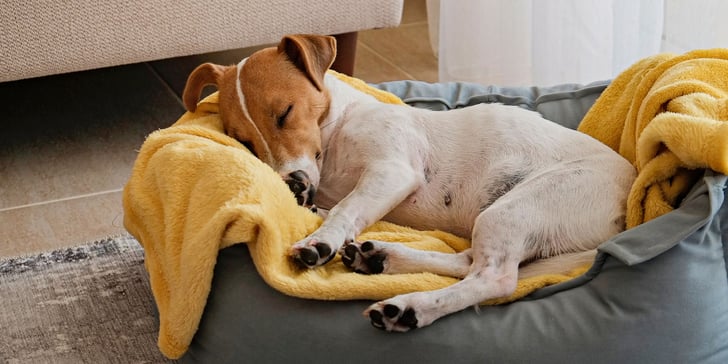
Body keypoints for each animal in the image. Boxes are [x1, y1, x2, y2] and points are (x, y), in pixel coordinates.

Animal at [183, 34, 636, 332]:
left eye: (285, 113)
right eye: (242, 140)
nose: (291, 184)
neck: (337, 132)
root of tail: (626, 213)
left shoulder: (392, 171)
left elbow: (346, 210)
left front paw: (319, 242)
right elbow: (334, 209)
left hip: (516, 208)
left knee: (494, 278)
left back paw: (409, 306)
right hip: (500, 218)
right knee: (468, 261)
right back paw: (382, 257)